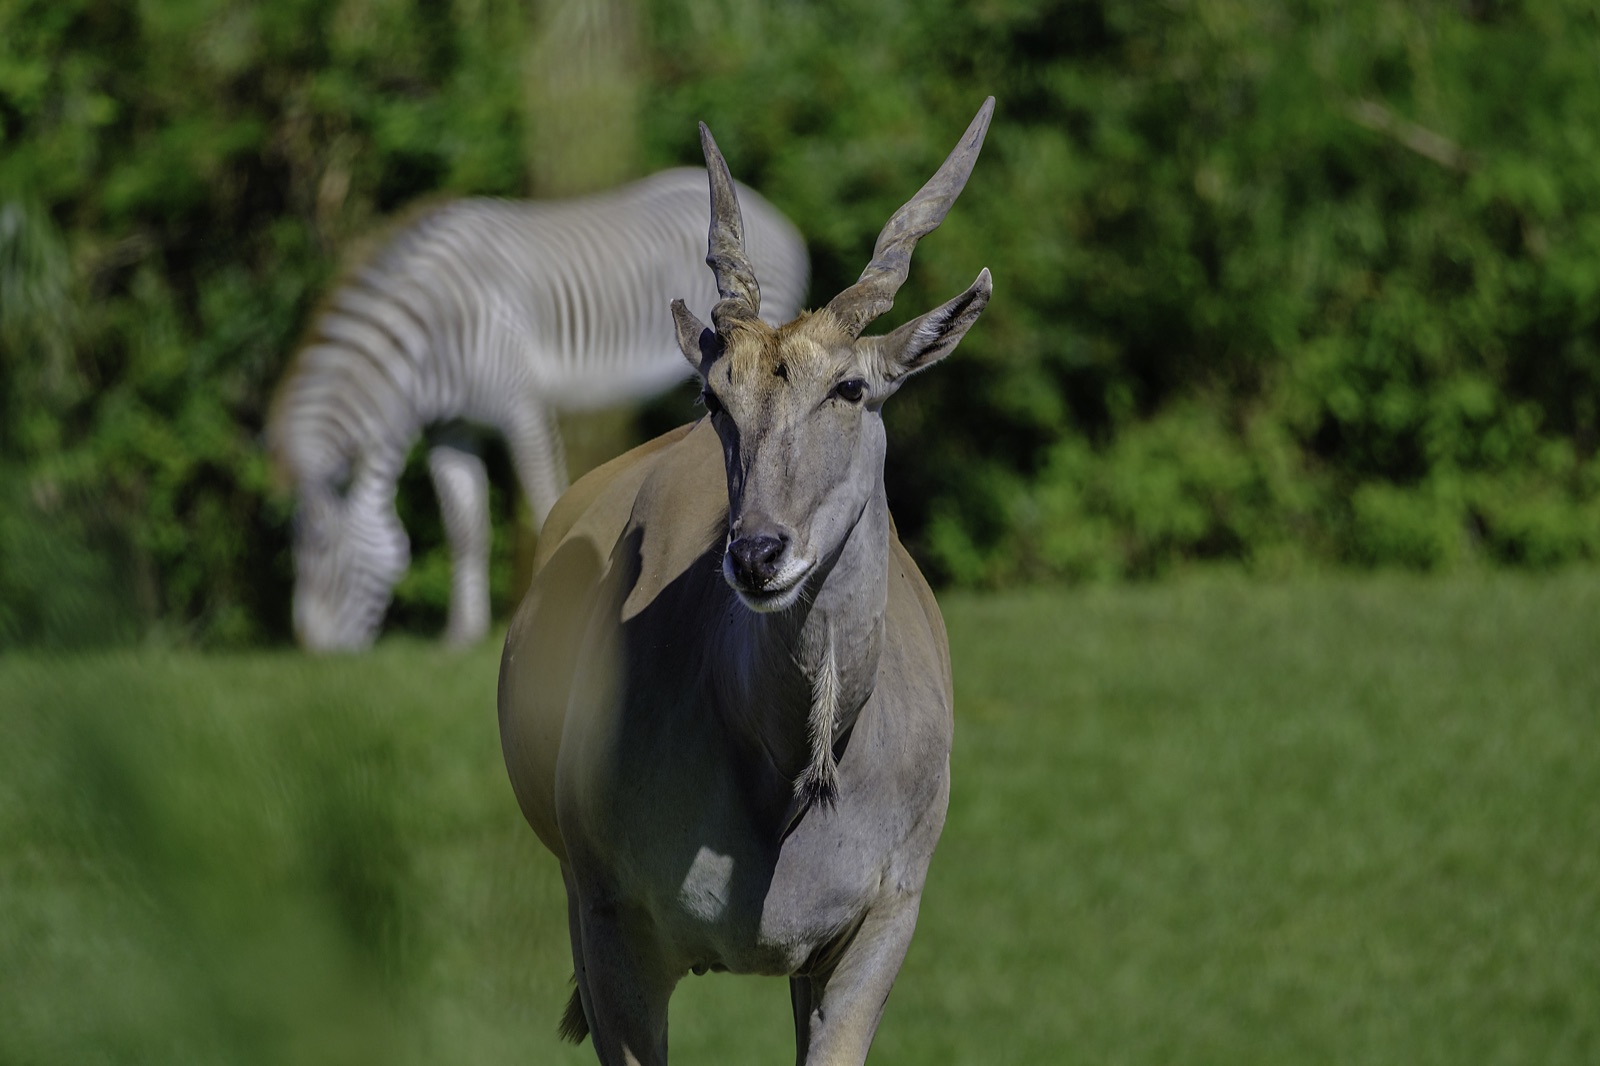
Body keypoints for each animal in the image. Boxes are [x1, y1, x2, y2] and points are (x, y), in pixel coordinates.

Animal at [268, 168, 810, 652]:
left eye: (322, 548)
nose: (313, 651)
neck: (430, 341)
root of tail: (773, 213)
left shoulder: (518, 403)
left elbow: (546, 498)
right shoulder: (452, 428)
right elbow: (465, 527)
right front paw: (462, 636)